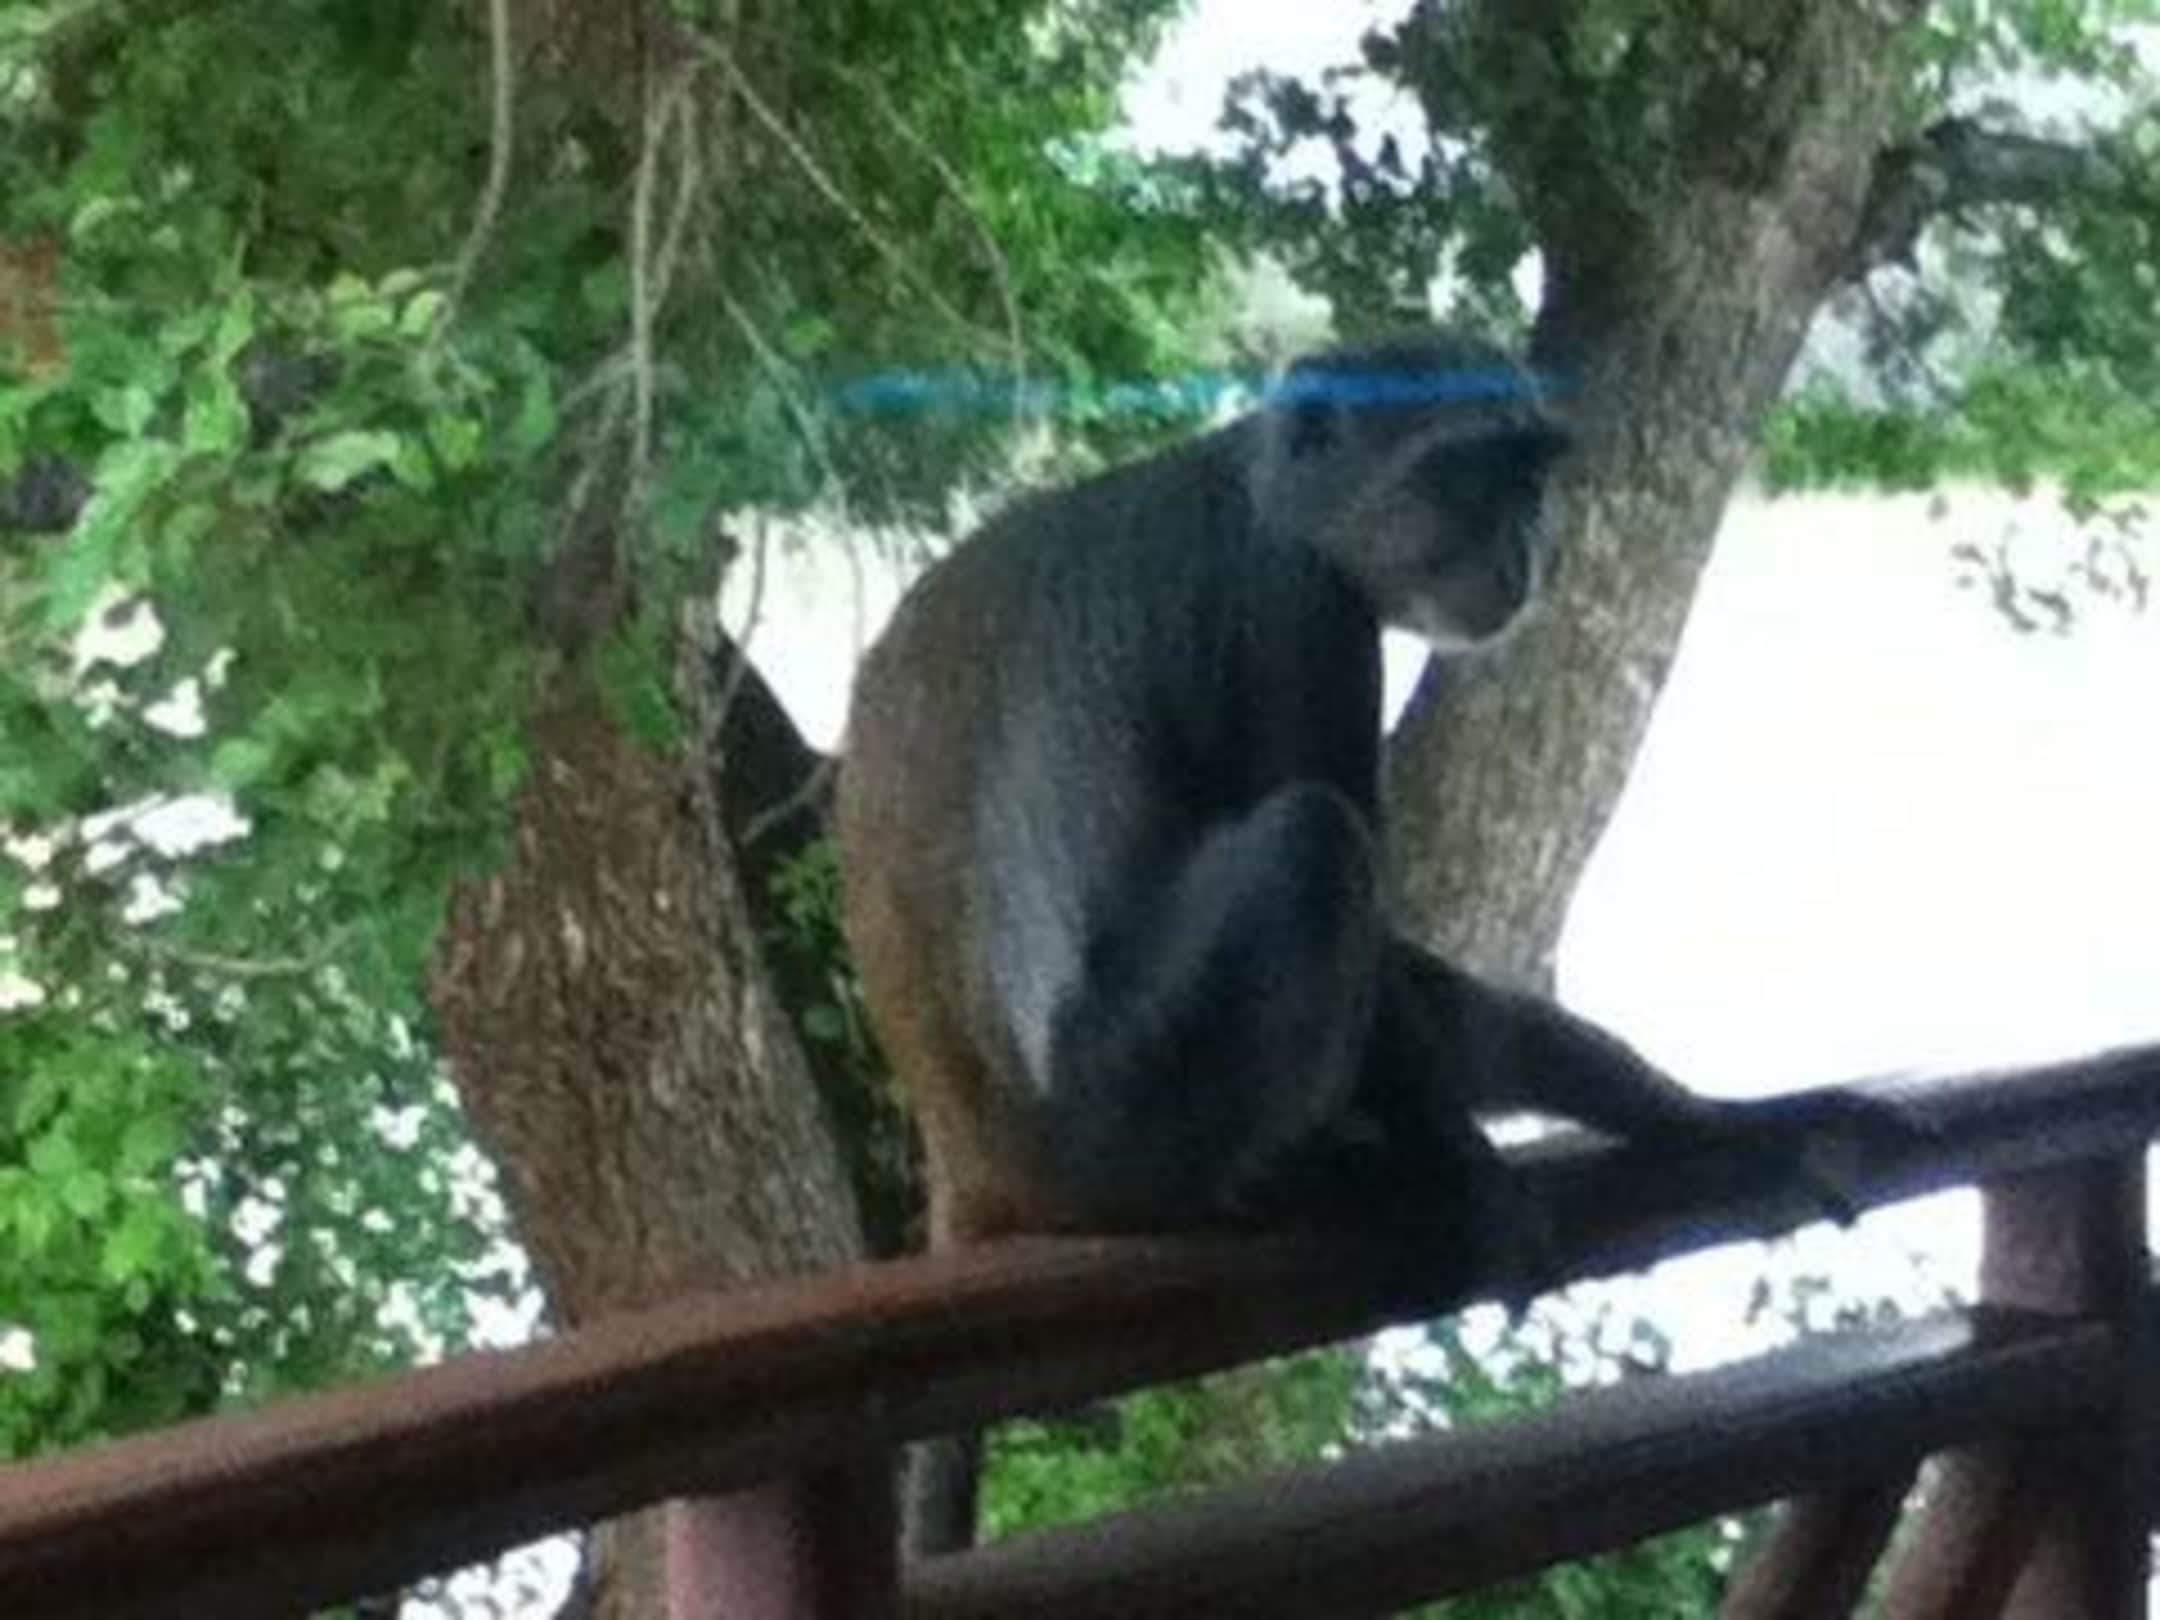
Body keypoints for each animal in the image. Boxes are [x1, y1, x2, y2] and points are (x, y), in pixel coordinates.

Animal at [835, 334, 1911, 1551]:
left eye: (1530, 480)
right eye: (1472, 477)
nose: (1531, 546)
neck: (1250, 485)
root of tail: (972, 1160)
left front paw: (1711, 1122)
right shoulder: (1298, 611)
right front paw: (1478, 1177)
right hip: (1116, 1121)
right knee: (1311, 841)